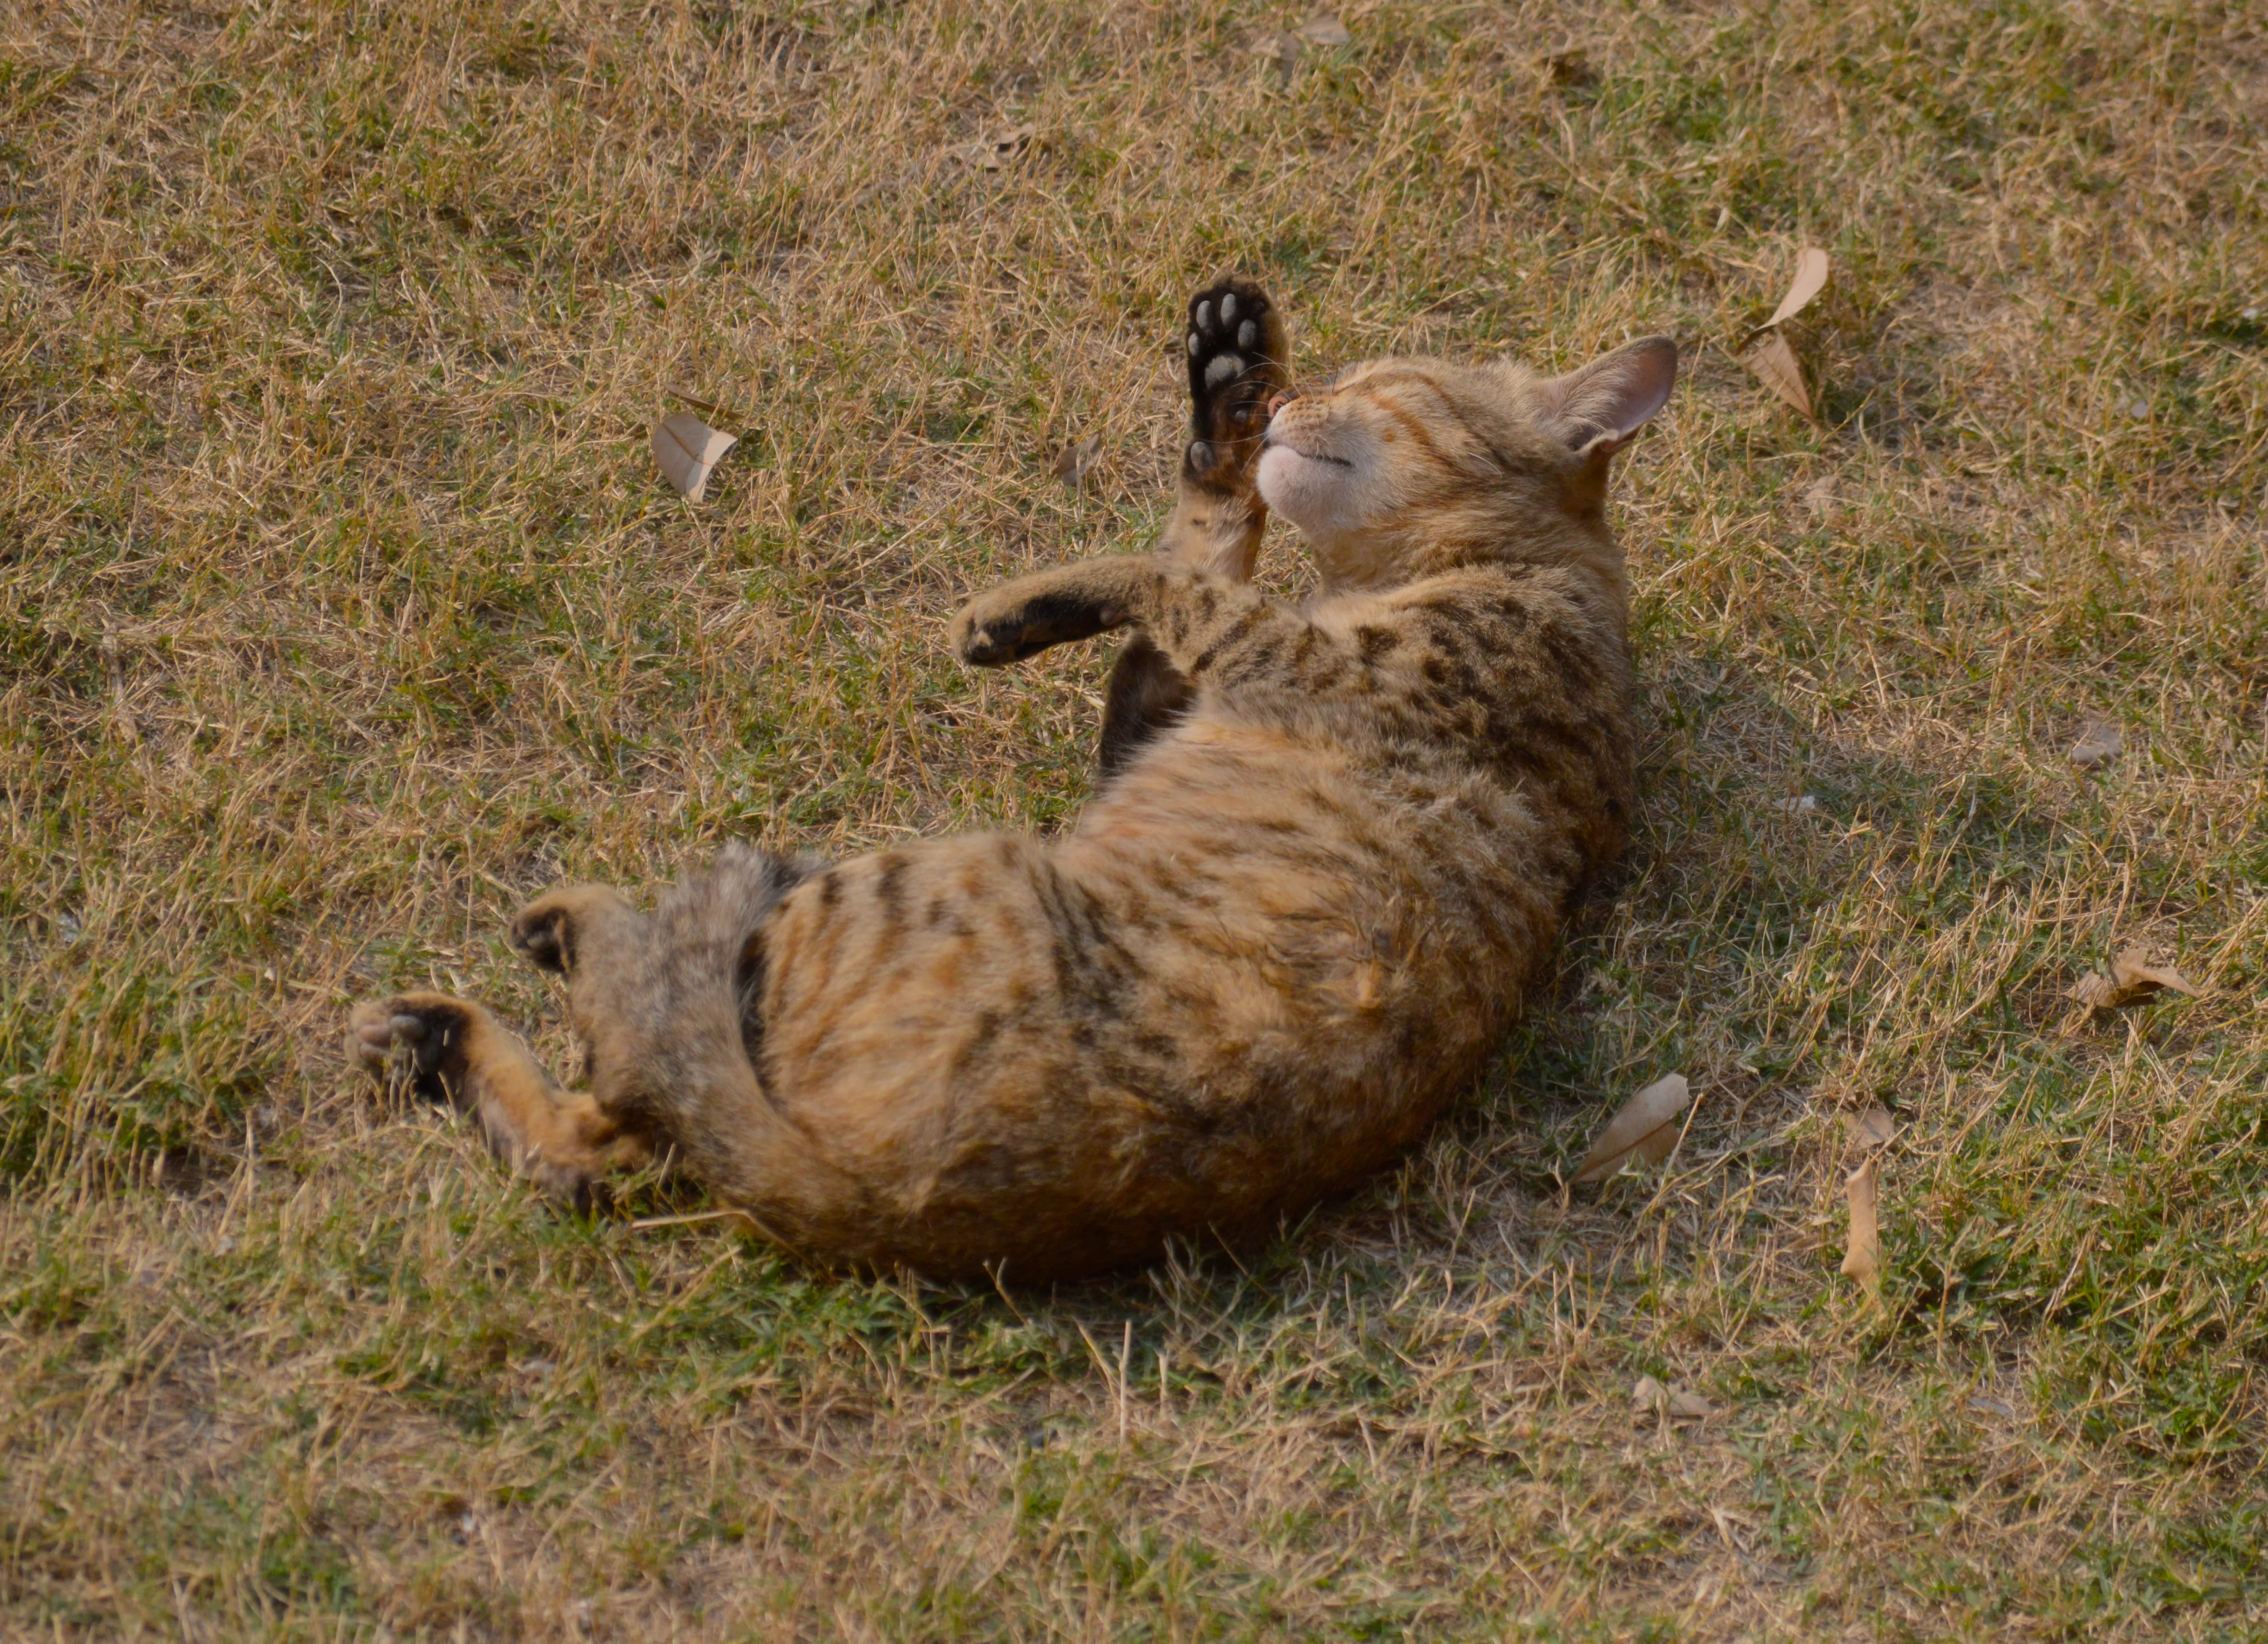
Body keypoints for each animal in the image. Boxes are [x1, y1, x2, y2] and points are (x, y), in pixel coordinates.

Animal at [344, 279, 1678, 1279]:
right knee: (604, 1145)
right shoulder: (1160, 717)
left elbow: (1177, 574)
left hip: (860, 884)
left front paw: (1023, 596)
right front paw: (1221, 395)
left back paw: (567, 936)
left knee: (632, 1078)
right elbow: (1203, 544)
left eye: (1383, 384)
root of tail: (868, 1202)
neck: (1521, 573)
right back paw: (438, 1036)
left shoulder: (1303, 661)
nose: (1298, 394)